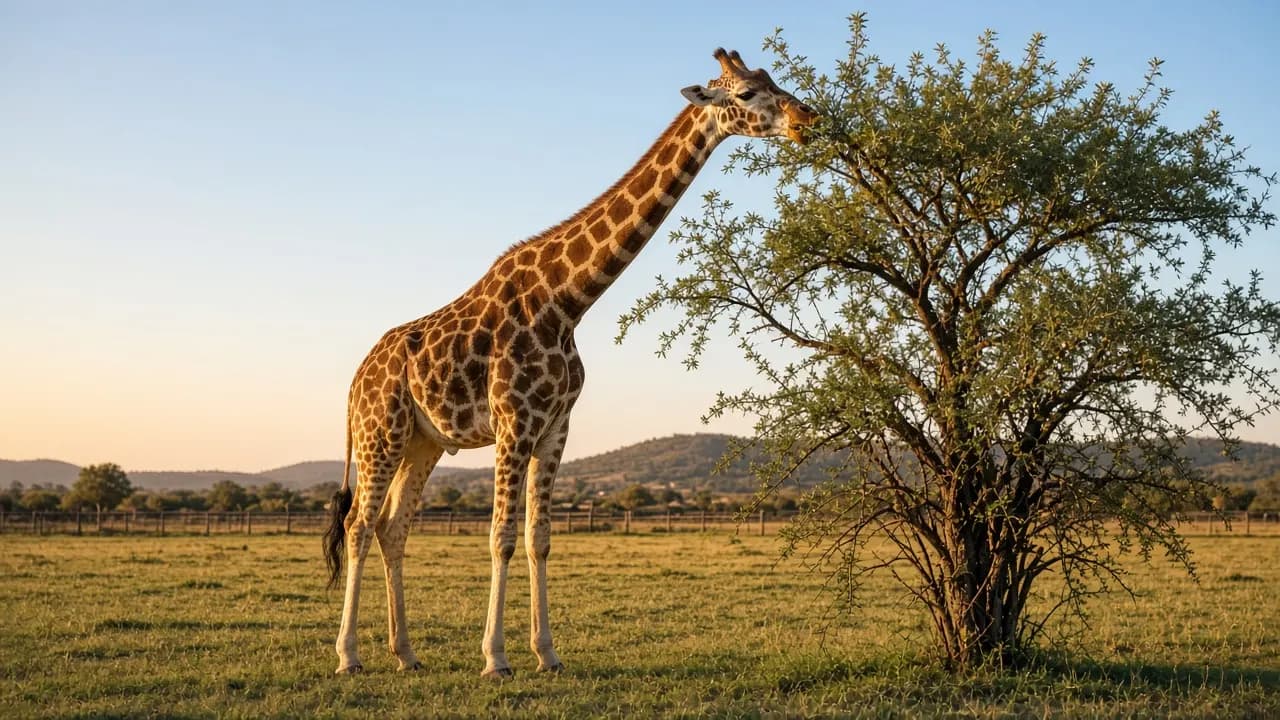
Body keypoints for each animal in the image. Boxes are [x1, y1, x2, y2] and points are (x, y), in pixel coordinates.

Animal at [322, 48, 818, 678]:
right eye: (749, 93)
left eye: (772, 80)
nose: (808, 120)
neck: (567, 300)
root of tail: (355, 380)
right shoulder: (514, 424)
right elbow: (501, 536)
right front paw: (496, 659)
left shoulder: (555, 428)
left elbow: (540, 538)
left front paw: (547, 653)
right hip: (379, 433)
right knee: (359, 525)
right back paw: (348, 656)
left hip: (423, 442)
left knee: (393, 529)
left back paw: (406, 654)